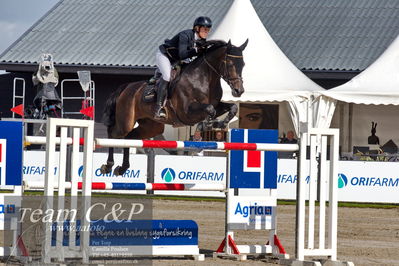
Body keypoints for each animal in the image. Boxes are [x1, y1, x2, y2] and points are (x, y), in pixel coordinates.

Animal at [101, 38, 248, 176]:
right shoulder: (187, 113)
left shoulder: (216, 105)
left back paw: (122, 168)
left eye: (243, 64)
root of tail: (126, 87)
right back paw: (108, 165)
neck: (205, 79)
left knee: (129, 137)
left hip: (151, 126)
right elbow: (209, 109)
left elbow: (231, 108)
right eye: (230, 64)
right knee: (113, 135)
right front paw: (208, 125)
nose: (238, 91)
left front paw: (221, 123)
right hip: (125, 121)